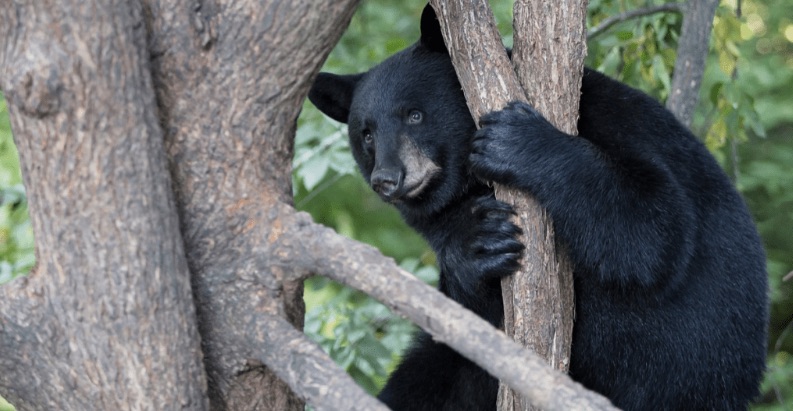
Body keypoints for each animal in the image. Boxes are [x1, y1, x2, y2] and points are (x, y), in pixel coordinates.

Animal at [308, 4, 768, 411]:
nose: (387, 179)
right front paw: (479, 242)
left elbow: (654, 232)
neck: (467, 185)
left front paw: (517, 141)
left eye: (415, 115)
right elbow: (467, 300)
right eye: (366, 134)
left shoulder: (615, 124)